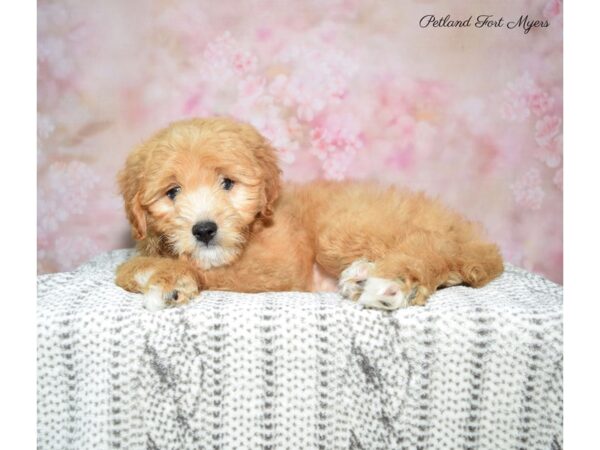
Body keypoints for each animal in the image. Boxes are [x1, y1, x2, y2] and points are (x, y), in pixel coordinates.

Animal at [115, 118, 504, 312]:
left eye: (227, 183)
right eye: (172, 192)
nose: (205, 230)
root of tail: (471, 233)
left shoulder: (279, 262)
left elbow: (213, 270)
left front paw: (167, 276)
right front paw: (148, 269)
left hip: (342, 229)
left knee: (434, 247)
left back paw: (387, 282)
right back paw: (362, 275)